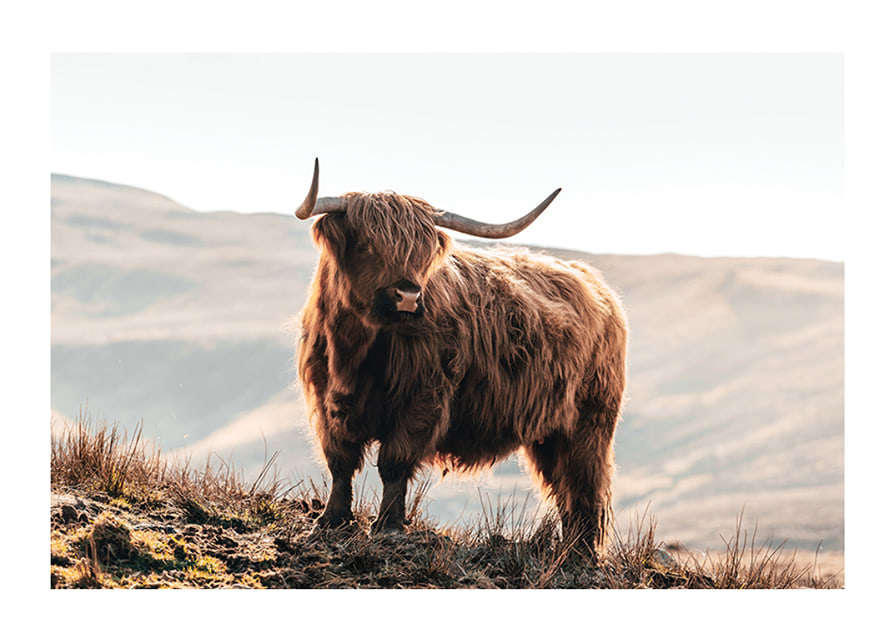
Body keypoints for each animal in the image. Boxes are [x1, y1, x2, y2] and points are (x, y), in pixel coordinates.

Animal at [295, 159, 627, 554]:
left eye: (422, 254)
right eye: (365, 246)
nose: (408, 296)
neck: (355, 351)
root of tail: (594, 284)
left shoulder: (423, 398)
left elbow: (394, 462)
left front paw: (389, 526)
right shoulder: (326, 398)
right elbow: (340, 461)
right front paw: (331, 521)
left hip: (589, 423)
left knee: (583, 484)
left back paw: (581, 553)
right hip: (550, 433)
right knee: (564, 487)